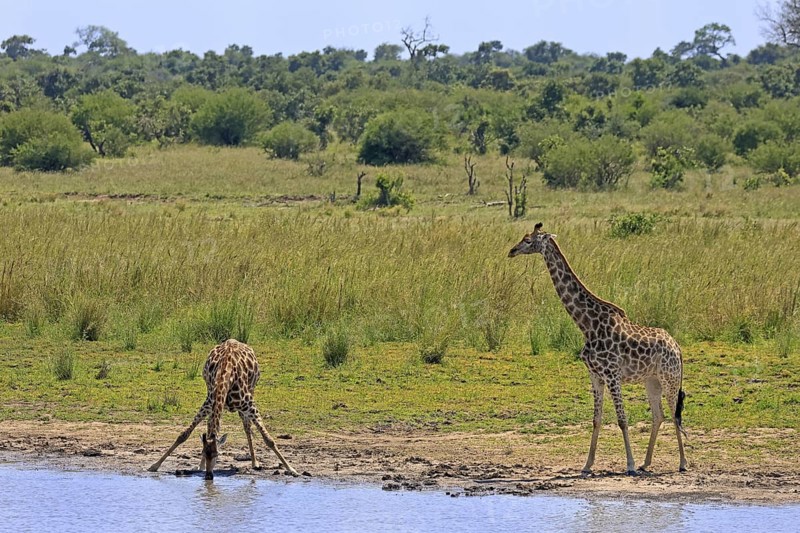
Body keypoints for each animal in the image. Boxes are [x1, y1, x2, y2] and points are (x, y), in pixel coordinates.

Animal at [148, 339, 299, 480]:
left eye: (217, 454)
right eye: (203, 453)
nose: (208, 476)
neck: (225, 377)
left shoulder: (250, 405)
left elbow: (269, 439)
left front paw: (291, 469)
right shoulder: (208, 403)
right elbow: (183, 435)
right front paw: (155, 465)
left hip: (250, 393)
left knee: (247, 427)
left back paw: (254, 462)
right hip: (214, 405)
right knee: (211, 425)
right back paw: (201, 465)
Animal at [508, 223, 687, 475]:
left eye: (527, 240)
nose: (511, 251)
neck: (587, 325)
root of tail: (677, 347)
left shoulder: (612, 374)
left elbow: (622, 419)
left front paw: (629, 465)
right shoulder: (595, 375)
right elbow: (597, 419)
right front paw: (587, 464)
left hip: (669, 378)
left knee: (674, 414)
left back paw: (682, 463)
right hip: (651, 380)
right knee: (659, 415)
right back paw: (646, 462)